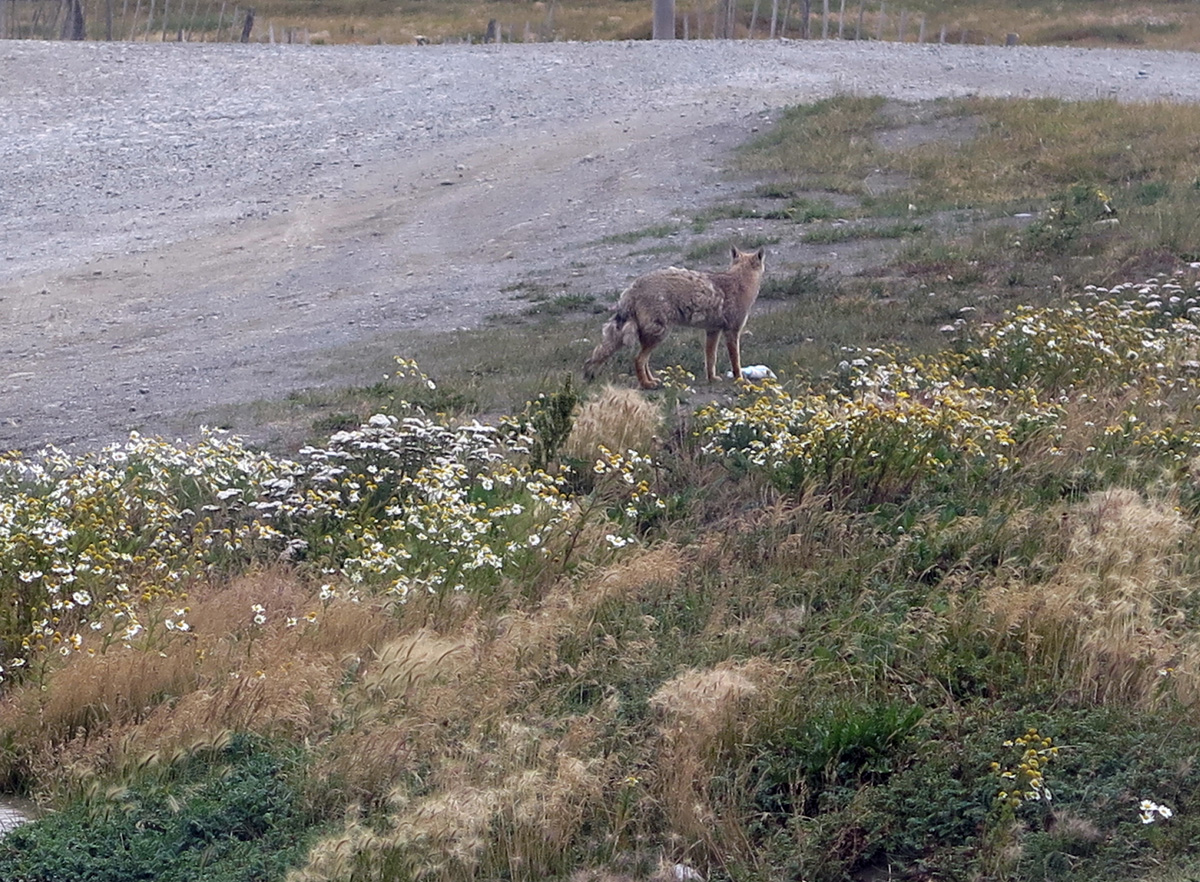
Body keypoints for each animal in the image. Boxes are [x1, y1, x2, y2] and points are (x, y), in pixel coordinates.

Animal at [583, 245, 766, 390]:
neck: (740, 280)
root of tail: (633, 287)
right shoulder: (732, 331)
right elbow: (736, 361)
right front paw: (740, 380)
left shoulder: (712, 331)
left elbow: (710, 359)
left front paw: (712, 379)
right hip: (659, 334)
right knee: (638, 359)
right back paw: (646, 384)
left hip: (648, 336)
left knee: (641, 360)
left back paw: (651, 380)